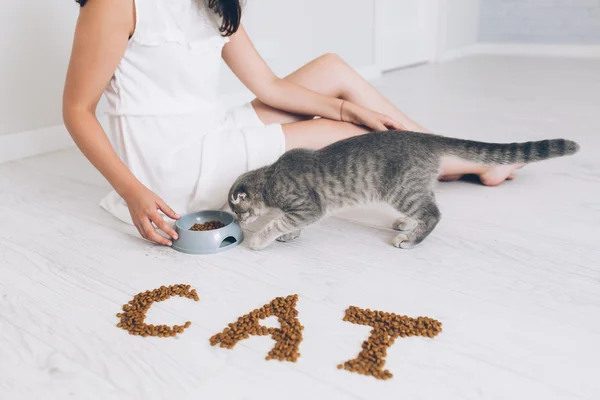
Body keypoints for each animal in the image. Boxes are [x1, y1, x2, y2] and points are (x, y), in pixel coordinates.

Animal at [227, 131, 580, 250]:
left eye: (236, 211)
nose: (240, 223)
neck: (270, 177)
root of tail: (425, 137)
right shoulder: (303, 212)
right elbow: (289, 223)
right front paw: (288, 235)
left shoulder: (307, 206)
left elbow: (280, 220)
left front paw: (259, 239)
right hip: (413, 188)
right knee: (427, 207)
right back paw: (407, 225)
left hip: (401, 190)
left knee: (434, 214)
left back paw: (410, 239)